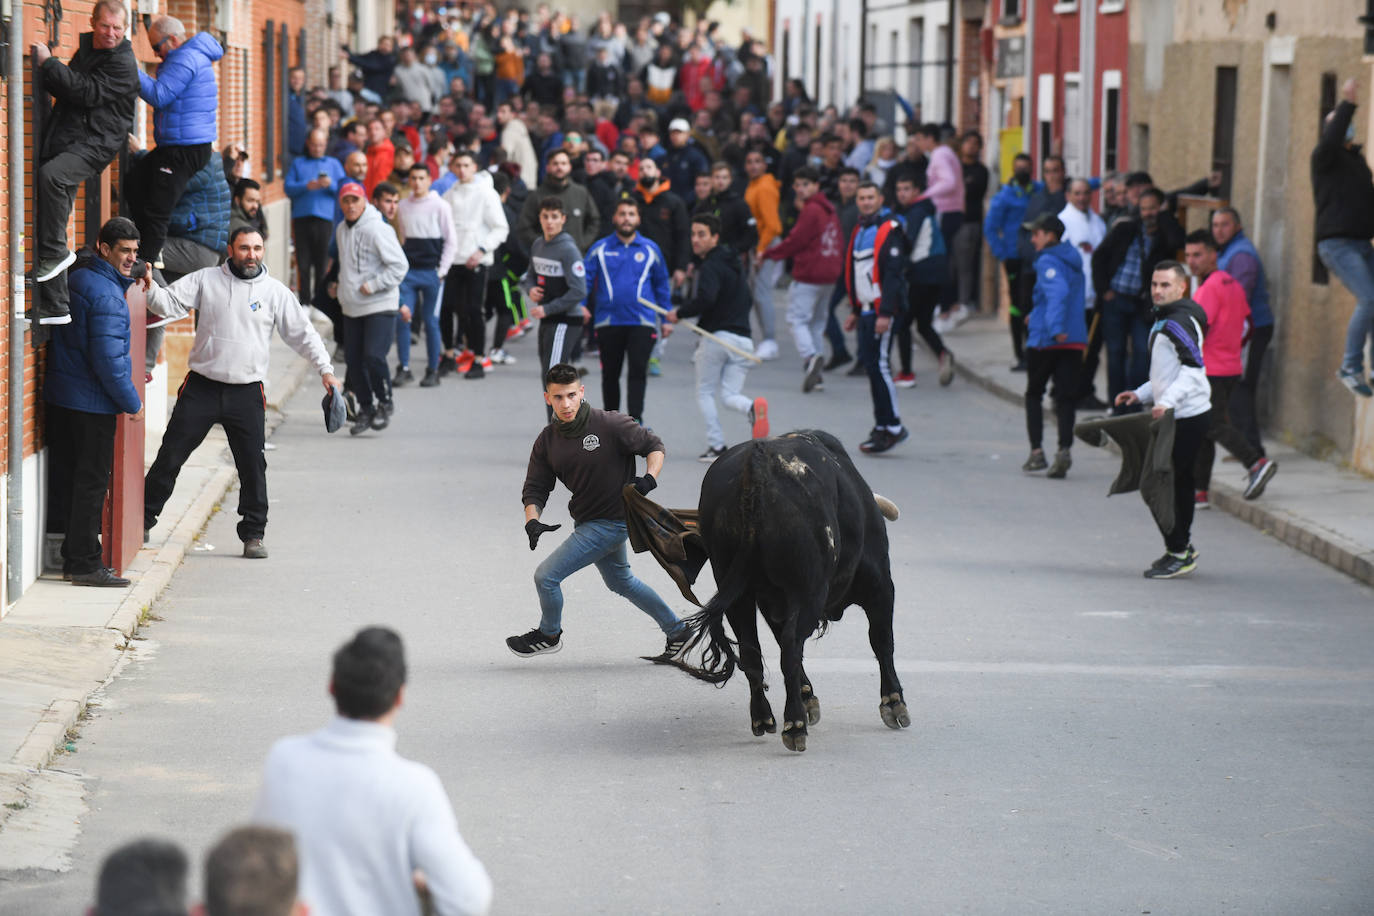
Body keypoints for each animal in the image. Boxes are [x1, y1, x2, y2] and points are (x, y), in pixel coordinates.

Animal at [632, 431, 912, 752]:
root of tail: (759, 465)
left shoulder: (771, 604)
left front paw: (807, 697)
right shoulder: (881, 585)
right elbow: (882, 642)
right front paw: (894, 703)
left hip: (737, 593)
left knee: (753, 652)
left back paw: (763, 718)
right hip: (808, 591)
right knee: (790, 648)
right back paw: (794, 725)